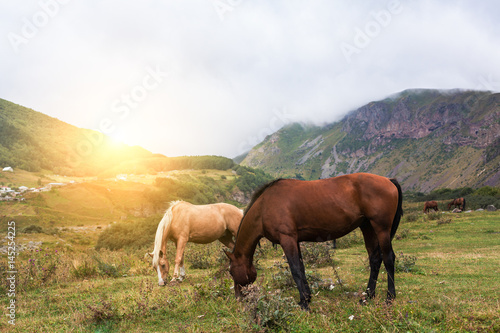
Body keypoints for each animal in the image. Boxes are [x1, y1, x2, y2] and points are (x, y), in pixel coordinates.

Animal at [226, 172, 402, 310]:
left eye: (231, 271)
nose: (238, 298)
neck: (264, 206)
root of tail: (388, 180)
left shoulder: (287, 239)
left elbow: (295, 270)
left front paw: (304, 304)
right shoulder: (295, 240)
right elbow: (301, 268)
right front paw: (306, 297)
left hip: (381, 228)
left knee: (388, 258)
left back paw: (389, 297)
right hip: (367, 227)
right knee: (375, 259)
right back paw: (368, 295)